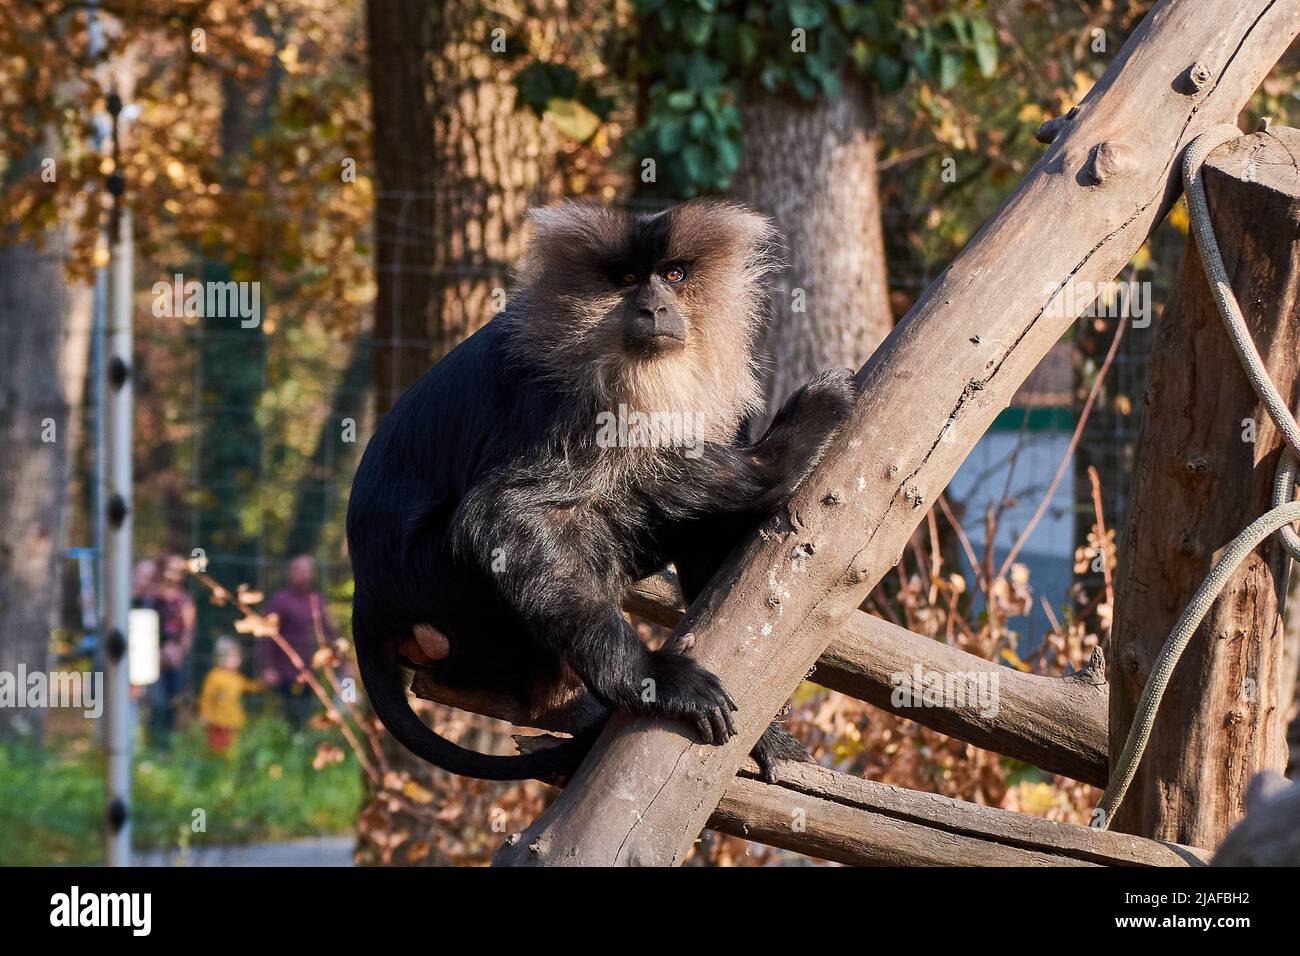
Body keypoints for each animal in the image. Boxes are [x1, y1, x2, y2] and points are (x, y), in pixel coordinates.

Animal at [346, 199, 855, 783]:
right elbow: (503, 514)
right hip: (441, 582)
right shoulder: (568, 402)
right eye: (628, 279)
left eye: (673, 275)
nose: (654, 308)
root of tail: (367, 597)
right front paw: (653, 679)